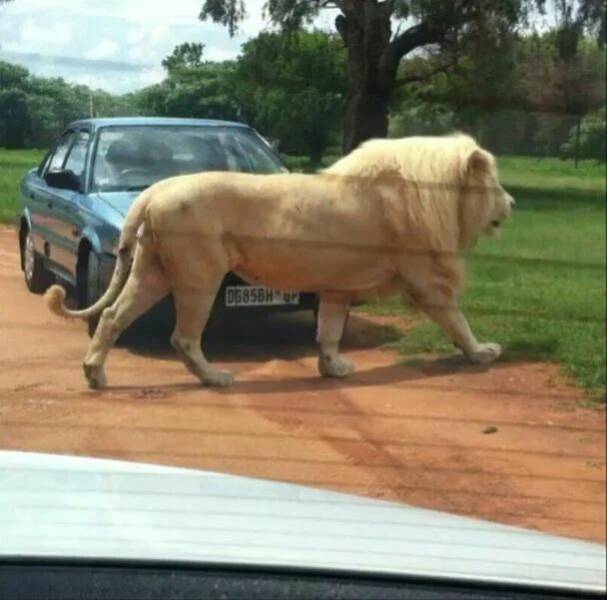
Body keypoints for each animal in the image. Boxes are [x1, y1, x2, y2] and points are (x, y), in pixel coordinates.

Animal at [46, 131, 512, 390]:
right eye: (495, 184)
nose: (511, 203)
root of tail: (154, 190)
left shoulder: (338, 286)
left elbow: (329, 331)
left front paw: (333, 368)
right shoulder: (425, 275)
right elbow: (456, 318)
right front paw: (482, 352)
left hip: (153, 271)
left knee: (112, 317)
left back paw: (94, 374)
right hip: (200, 275)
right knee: (183, 337)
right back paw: (215, 378)